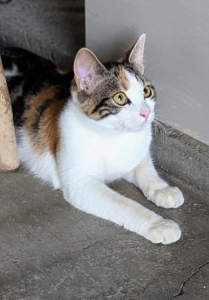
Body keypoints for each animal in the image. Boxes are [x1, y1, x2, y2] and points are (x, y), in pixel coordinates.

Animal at [1, 34, 184, 244]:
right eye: (120, 98)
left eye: (146, 91)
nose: (146, 113)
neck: (114, 136)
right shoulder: (80, 183)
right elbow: (124, 204)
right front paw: (159, 224)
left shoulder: (136, 153)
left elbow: (146, 170)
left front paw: (163, 189)